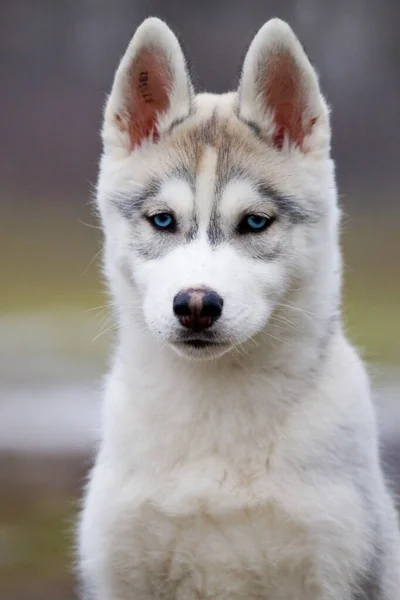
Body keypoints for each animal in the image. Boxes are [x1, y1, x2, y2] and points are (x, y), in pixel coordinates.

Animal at [78, 16, 400, 596]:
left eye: (254, 222)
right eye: (163, 220)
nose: (196, 305)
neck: (216, 412)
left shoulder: (337, 566)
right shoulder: (119, 571)